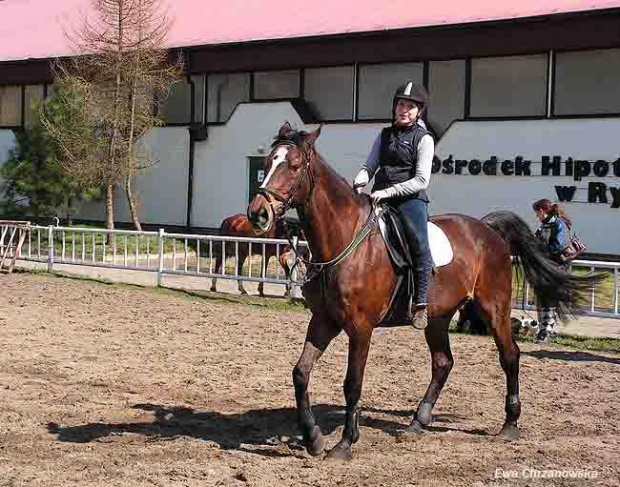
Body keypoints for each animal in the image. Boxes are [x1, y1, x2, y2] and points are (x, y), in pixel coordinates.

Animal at [248, 122, 600, 462]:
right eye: (266, 163)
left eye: (294, 166)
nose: (258, 213)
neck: (344, 239)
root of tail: (487, 229)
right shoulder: (324, 320)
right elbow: (300, 373)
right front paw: (313, 437)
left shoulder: (360, 328)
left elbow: (352, 384)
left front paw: (345, 444)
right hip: (438, 316)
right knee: (443, 362)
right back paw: (417, 423)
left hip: (494, 308)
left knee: (509, 355)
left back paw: (510, 424)